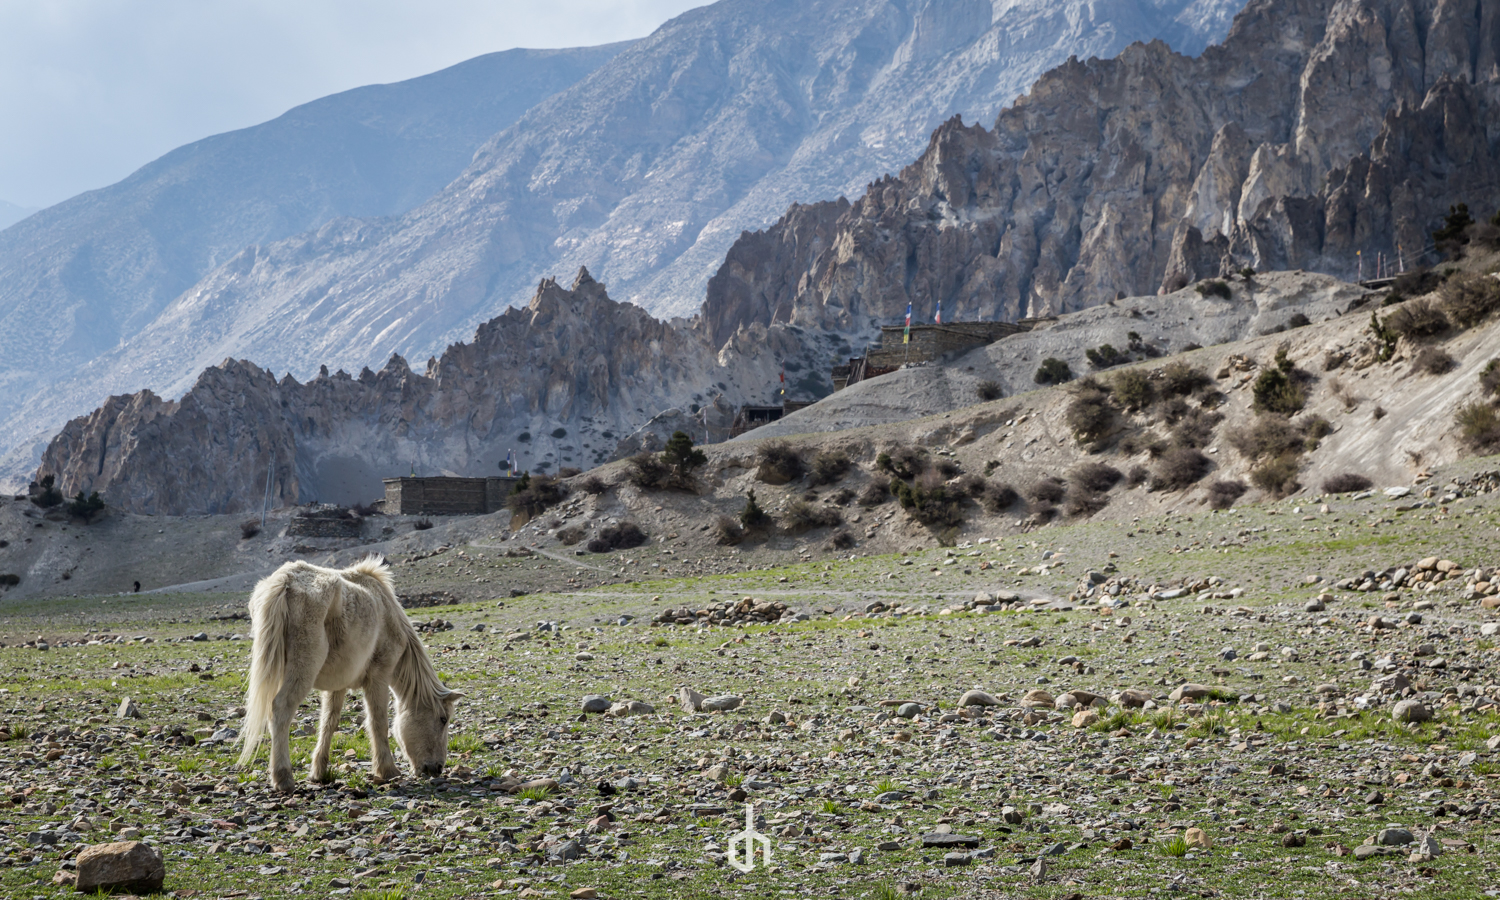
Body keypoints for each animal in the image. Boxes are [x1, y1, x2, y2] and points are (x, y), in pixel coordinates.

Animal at [237, 557, 461, 792]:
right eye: (443, 719)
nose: (437, 768)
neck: (388, 615)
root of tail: (285, 580)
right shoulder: (378, 677)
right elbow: (378, 722)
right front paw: (387, 770)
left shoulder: (338, 685)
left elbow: (329, 722)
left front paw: (318, 772)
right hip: (303, 669)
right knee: (281, 709)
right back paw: (283, 778)